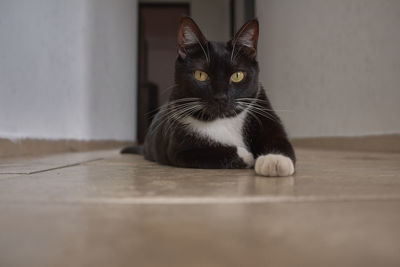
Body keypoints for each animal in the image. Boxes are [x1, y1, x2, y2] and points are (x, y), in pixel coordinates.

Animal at [123, 16, 296, 176]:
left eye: (237, 75)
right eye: (200, 75)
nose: (221, 97)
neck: (223, 119)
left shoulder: (264, 111)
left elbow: (278, 138)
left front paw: (275, 160)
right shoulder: (179, 150)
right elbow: (209, 152)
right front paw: (247, 156)